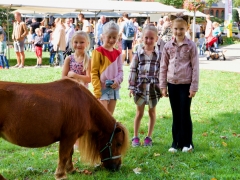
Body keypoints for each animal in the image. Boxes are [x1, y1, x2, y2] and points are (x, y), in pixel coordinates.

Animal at [0, 79, 129, 180]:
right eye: (118, 144)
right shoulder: (69, 136)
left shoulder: (71, 136)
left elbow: (69, 153)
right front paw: (61, 175)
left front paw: (71, 169)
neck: (84, 102)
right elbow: (64, 155)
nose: (118, 167)